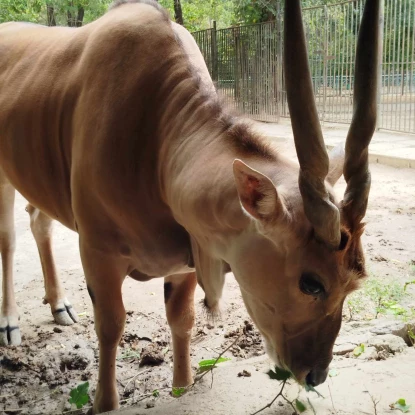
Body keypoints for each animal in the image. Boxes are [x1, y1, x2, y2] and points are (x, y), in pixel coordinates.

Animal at [0, 0, 382, 414]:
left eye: (354, 283)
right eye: (311, 282)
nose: (315, 375)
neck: (156, 142)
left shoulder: (186, 257)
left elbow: (181, 318)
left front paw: (182, 385)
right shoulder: (97, 252)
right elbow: (111, 325)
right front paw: (104, 401)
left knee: (38, 221)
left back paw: (59, 306)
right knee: (9, 238)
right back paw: (10, 323)